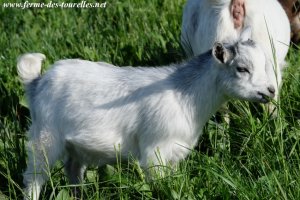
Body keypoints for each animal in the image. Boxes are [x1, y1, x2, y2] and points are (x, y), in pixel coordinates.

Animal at [18, 28, 274, 200]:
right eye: (242, 68)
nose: (271, 90)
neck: (186, 96)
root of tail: (37, 82)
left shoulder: (174, 154)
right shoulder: (155, 153)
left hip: (74, 147)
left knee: (73, 170)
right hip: (45, 137)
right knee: (34, 177)